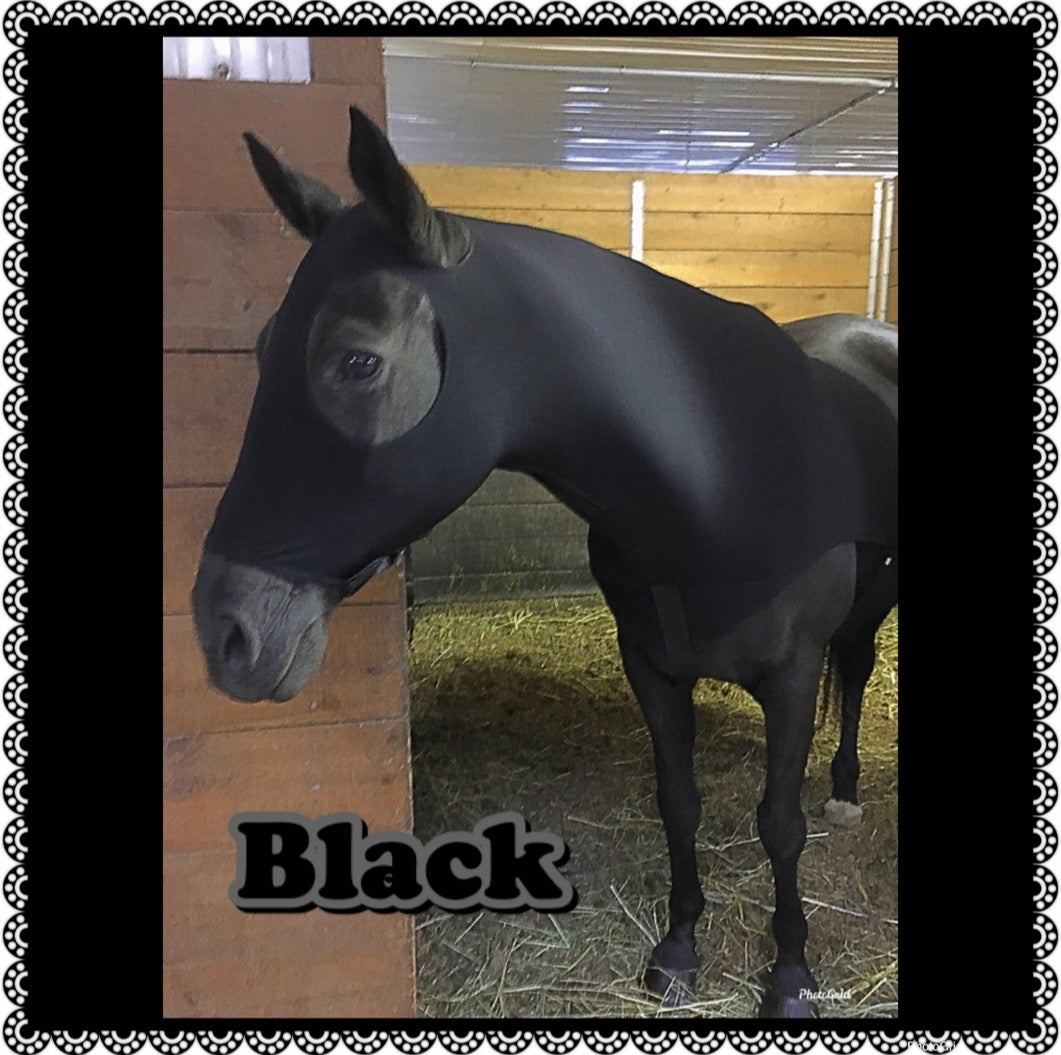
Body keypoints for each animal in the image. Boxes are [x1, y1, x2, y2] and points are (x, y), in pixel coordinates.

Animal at [191, 106, 898, 1019]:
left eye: (358, 360)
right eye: (260, 348)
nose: (225, 631)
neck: (715, 479)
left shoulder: (790, 672)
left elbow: (778, 822)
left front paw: (789, 976)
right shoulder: (651, 665)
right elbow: (678, 804)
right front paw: (677, 948)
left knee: (859, 666)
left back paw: (842, 789)